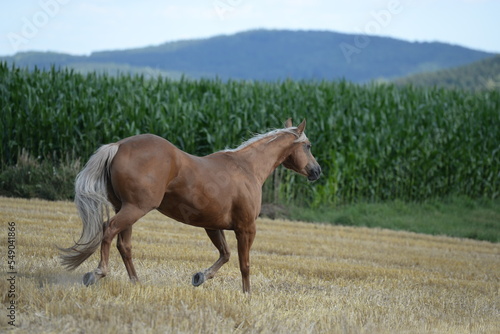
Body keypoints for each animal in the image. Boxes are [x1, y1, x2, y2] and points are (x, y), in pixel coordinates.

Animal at [59, 118, 320, 290]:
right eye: (308, 146)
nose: (317, 171)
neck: (247, 168)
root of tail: (118, 146)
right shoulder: (246, 228)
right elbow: (244, 264)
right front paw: (247, 294)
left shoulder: (212, 226)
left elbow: (225, 254)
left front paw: (200, 277)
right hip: (135, 208)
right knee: (108, 229)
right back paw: (97, 273)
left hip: (124, 207)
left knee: (124, 245)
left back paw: (136, 282)